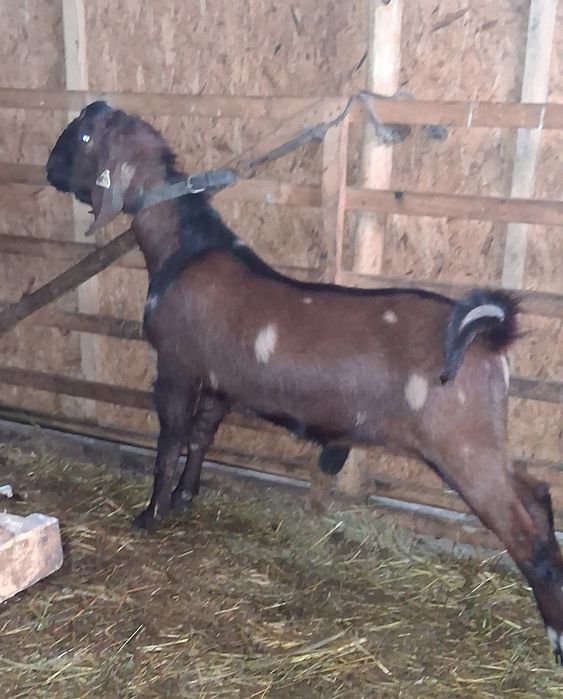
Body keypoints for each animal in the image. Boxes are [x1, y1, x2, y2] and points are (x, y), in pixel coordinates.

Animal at [46, 101, 563, 662]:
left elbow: (170, 442)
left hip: (461, 444)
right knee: (538, 495)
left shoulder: (177, 366)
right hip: (484, 438)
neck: (184, 250)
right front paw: (186, 498)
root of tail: (488, 339)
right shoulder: (222, 380)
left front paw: (151, 514)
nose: (48, 170)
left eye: (86, 135)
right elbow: (202, 436)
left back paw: (556, 637)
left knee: (525, 534)